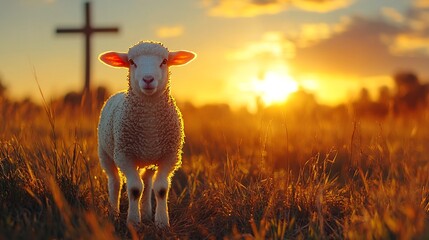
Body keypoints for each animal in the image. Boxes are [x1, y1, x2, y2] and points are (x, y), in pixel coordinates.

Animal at [97, 40, 196, 227]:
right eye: (131, 62)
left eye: (164, 61)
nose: (148, 79)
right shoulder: (124, 155)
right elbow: (135, 188)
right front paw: (133, 221)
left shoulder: (170, 156)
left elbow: (161, 188)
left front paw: (162, 222)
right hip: (105, 153)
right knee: (115, 182)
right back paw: (114, 213)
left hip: (149, 159)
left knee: (148, 182)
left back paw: (147, 213)